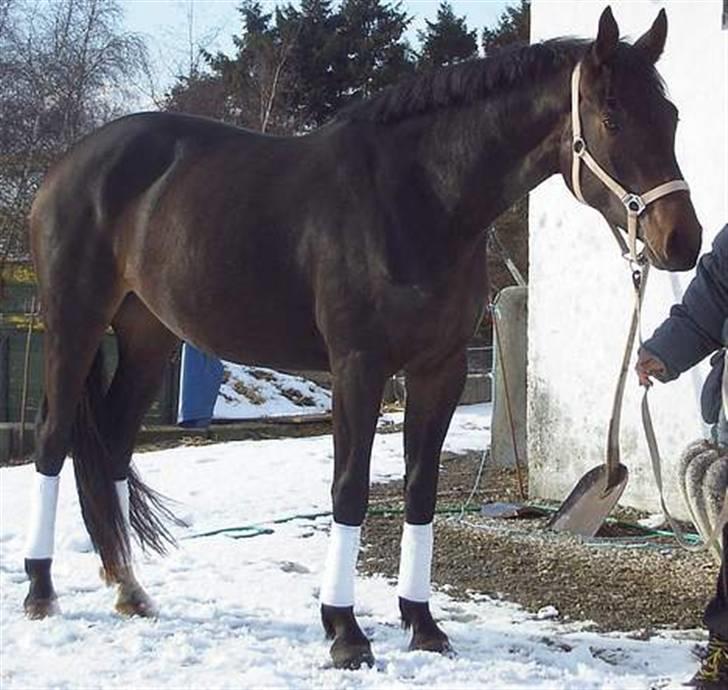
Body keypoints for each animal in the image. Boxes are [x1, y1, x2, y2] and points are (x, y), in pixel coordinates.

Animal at [25, 6, 704, 668]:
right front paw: (345, 631)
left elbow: (421, 490)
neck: (419, 198)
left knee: (113, 445)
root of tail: (69, 164)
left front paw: (423, 625)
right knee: (54, 441)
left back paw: (129, 588)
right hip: (73, 323)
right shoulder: (358, 366)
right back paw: (41, 590)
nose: (683, 242)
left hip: (150, 337)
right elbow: (349, 489)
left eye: (671, 116)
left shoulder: (439, 369)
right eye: (612, 118)